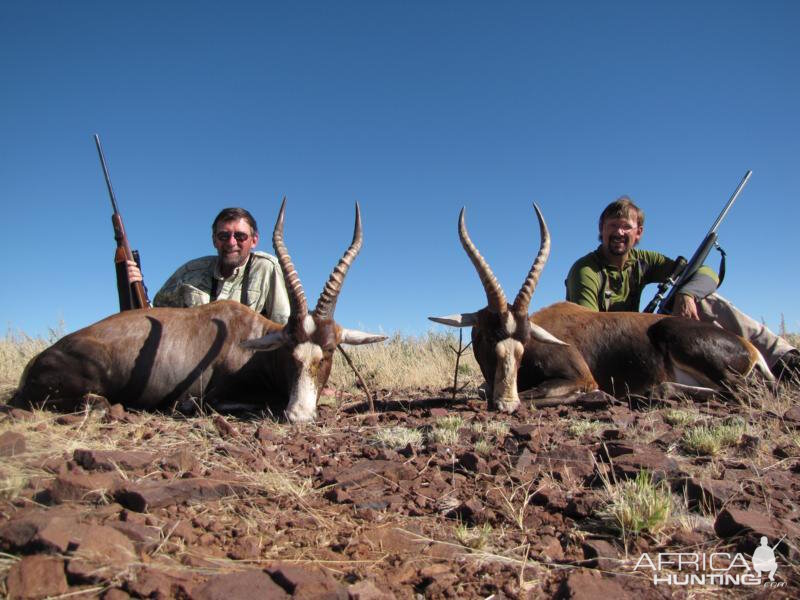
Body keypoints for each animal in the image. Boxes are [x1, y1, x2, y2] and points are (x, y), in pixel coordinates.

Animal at [428, 204, 772, 410]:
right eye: (488, 336)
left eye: (525, 341)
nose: (506, 403)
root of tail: (751, 350)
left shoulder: (580, 378)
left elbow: (539, 395)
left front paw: (598, 396)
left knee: (740, 393)